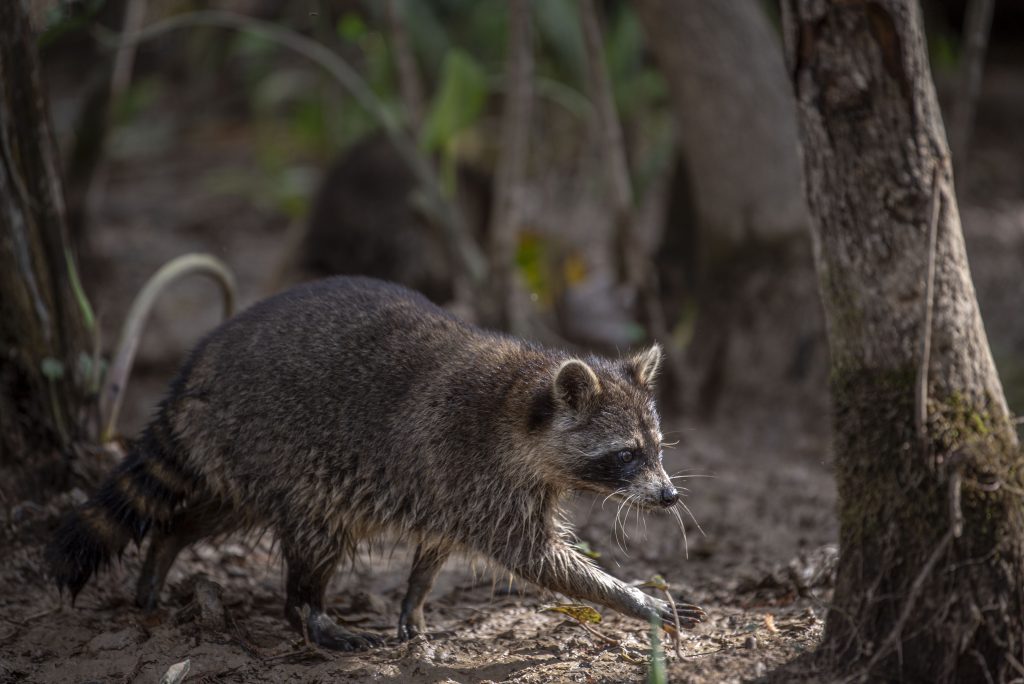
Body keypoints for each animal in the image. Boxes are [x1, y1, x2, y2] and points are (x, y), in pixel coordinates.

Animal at [48, 274, 704, 651]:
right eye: (627, 455)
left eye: (657, 450)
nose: (669, 497)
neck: (526, 400)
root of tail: (197, 367)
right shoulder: (476, 468)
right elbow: (535, 558)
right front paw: (634, 599)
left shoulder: (455, 488)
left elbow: (437, 546)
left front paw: (414, 598)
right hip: (275, 442)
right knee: (316, 530)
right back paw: (309, 613)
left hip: (239, 456)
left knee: (219, 509)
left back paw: (168, 543)